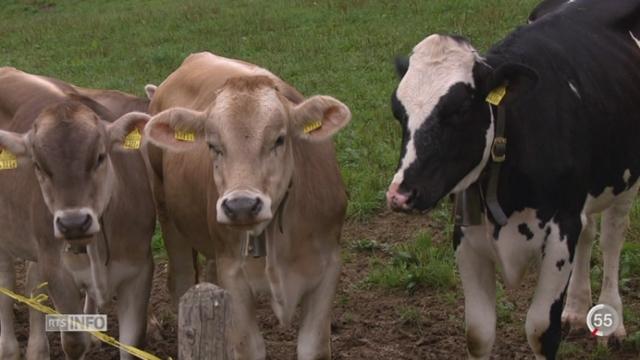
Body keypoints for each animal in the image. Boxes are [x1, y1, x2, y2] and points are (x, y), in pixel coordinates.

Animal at [0, 66, 155, 358]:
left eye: (100, 157)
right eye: (38, 166)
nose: (73, 223)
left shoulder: (139, 270)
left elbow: (132, 345)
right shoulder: (58, 273)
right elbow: (73, 341)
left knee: (31, 282)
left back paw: (37, 349)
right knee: (6, 283)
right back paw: (9, 349)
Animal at [144, 52, 350, 358]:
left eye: (279, 139)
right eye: (212, 145)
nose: (241, 205)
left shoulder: (328, 266)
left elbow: (313, 346)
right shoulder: (234, 277)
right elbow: (249, 347)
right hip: (167, 213)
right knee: (181, 279)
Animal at [388, 0, 640, 358]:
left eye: (459, 109)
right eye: (398, 112)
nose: (400, 194)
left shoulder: (561, 228)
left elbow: (540, 331)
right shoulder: (466, 234)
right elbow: (478, 334)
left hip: (626, 177)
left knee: (612, 237)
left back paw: (613, 320)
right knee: (590, 231)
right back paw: (576, 310)